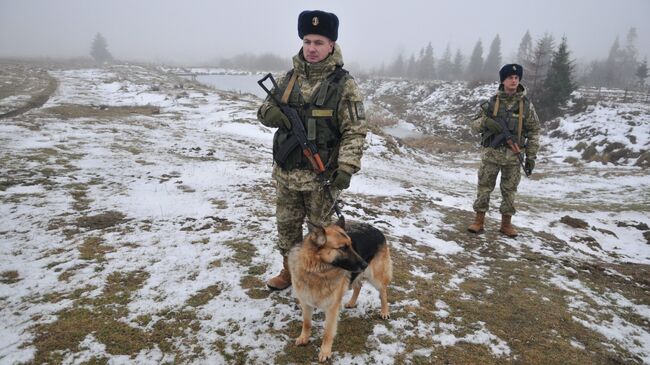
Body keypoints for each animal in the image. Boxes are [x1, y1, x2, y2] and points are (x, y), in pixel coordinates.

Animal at [288, 216, 390, 362]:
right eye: (343, 248)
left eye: (351, 245)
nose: (365, 264)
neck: (317, 272)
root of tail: (376, 229)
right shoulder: (306, 303)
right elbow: (307, 323)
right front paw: (304, 338)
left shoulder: (332, 308)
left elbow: (327, 332)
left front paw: (325, 352)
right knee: (358, 286)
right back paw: (352, 303)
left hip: (375, 277)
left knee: (383, 292)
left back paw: (384, 311)